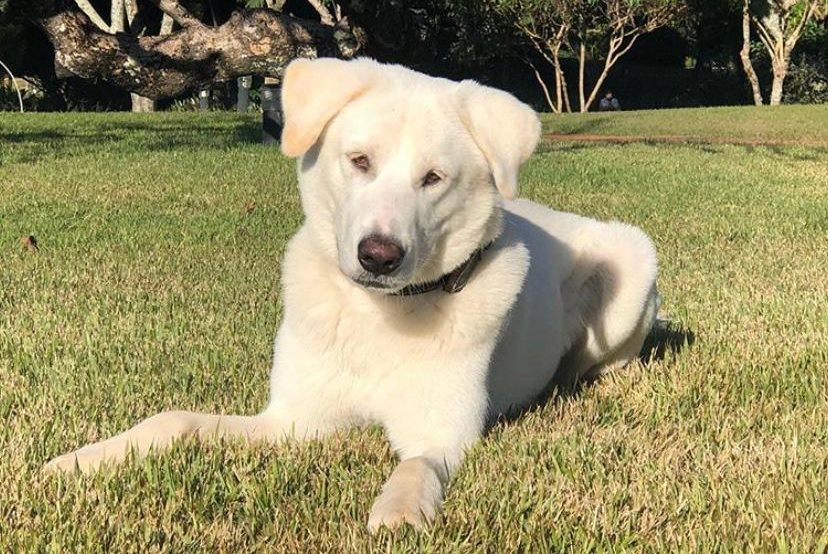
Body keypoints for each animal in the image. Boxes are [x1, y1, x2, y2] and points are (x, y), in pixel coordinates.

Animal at [50, 57, 660, 532]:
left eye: (434, 178)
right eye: (359, 161)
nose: (380, 256)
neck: (381, 315)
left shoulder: (441, 435)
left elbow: (415, 467)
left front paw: (399, 512)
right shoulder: (293, 421)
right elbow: (175, 421)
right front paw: (83, 459)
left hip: (633, 261)